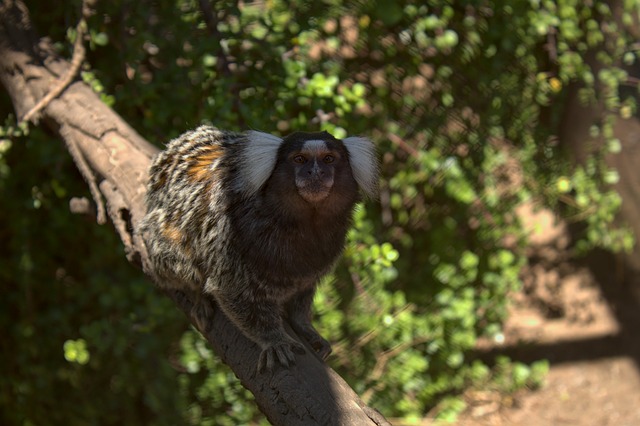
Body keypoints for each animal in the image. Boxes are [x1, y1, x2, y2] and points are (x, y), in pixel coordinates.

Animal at [142, 126, 378, 372]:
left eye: (328, 159)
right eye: (300, 159)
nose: (315, 172)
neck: (304, 225)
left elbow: (303, 289)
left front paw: (304, 326)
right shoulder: (232, 233)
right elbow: (232, 290)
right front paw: (274, 340)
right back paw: (196, 295)